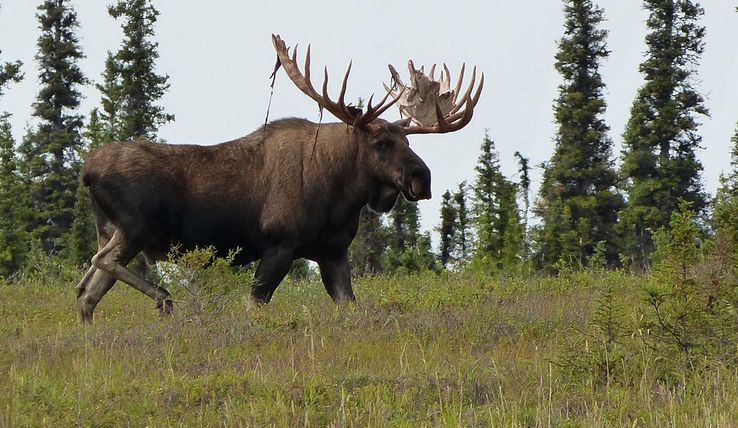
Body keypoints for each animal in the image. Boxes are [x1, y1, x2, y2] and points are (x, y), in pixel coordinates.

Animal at [72, 35, 480, 322]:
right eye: (380, 143)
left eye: (408, 140)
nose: (422, 179)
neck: (342, 196)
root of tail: (87, 170)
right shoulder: (280, 245)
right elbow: (255, 306)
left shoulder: (333, 252)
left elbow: (350, 306)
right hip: (135, 227)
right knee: (99, 263)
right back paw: (163, 297)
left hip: (113, 228)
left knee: (86, 291)